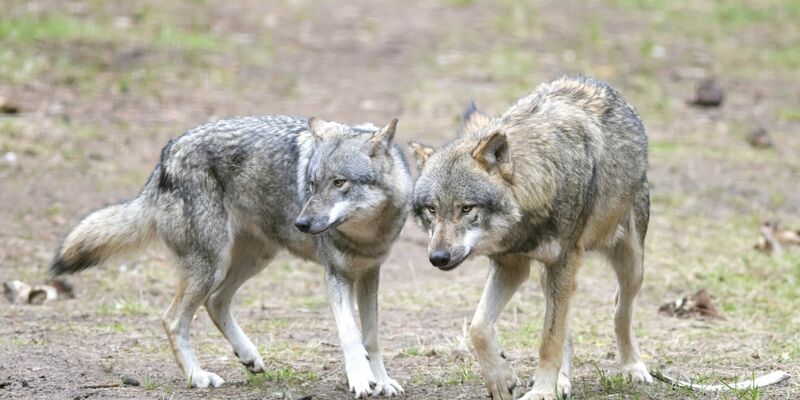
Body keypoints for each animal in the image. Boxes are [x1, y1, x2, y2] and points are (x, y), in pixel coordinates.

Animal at [51, 115, 411, 398]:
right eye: (311, 184)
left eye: (339, 183)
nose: (302, 223)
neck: (366, 234)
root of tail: (167, 155)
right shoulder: (335, 275)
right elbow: (350, 334)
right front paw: (361, 381)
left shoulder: (369, 274)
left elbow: (371, 337)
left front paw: (382, 381)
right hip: (211, 266)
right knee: (173, 319)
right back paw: (198, 377)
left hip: (254, 259)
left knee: (216, 302)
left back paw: (247, 356)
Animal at [410, 76, 652, 400]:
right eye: (432, 209)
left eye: (466, 208)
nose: (438, 258)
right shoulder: (512, 266)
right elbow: (478, 327)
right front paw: (501, 378)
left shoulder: (563, 262)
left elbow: (549, 340)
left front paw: (542, 391)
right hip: (550, 277)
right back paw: (563, 381)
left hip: (630, 266)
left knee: (619, 310)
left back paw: (633, 367)